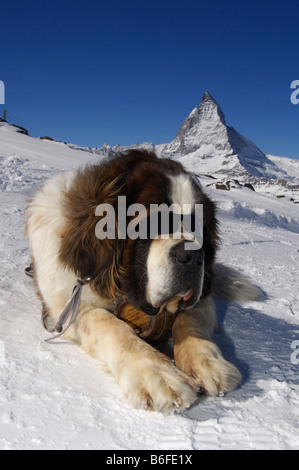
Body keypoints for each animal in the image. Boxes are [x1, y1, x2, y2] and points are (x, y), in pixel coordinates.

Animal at [25, 151, 244, 412]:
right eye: (153, 222)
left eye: (197, 227)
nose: (193, 255)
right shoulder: (68, 306)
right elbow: (110, 325)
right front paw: (155, 371)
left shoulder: (201, 298)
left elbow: (189, 320)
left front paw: (207, 361)